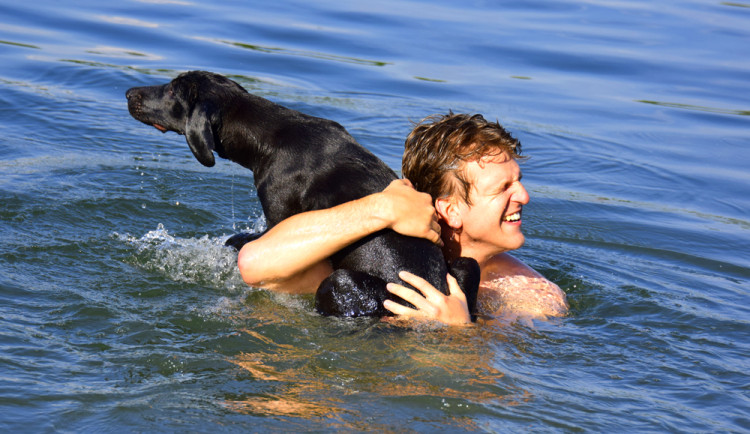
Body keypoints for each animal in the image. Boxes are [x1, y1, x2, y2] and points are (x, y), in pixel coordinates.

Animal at [125, 71, 478, 318]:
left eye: (173, 90)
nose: (129, 93)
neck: (268, 135)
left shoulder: (277, 216)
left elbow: (243, 241)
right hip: (466, 264)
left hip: (343, 282)